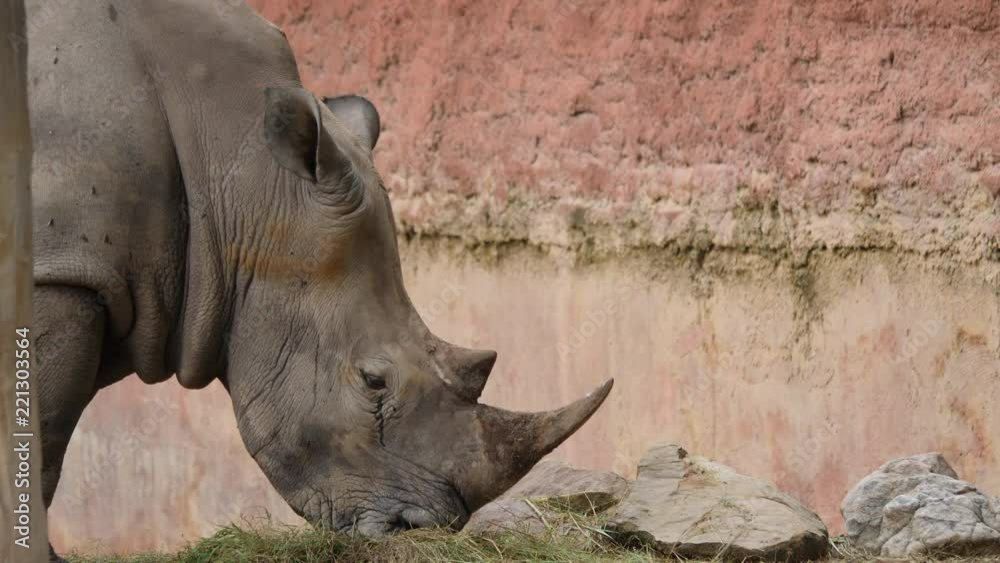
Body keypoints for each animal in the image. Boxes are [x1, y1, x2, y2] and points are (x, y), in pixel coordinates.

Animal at [26, 0, 612, 558]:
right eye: (373, 381)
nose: (421, 528)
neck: (240, 178)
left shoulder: (98, 275)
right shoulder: (63, 275)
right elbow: (46, 430)